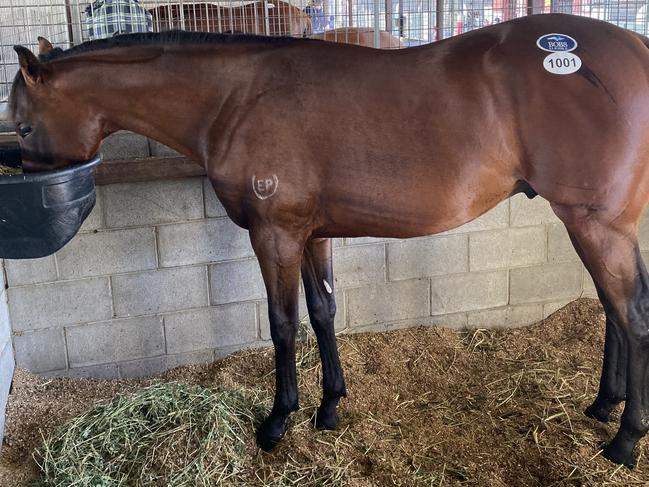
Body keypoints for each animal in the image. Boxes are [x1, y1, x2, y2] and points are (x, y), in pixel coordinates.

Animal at [10, 12, 649, 468]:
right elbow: (323, 311)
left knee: (632, 314)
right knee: (613, 310)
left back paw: (624, 439)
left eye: (22, 123)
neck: (236, 98)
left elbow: (283, 323)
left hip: (594, 224)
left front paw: (277, 421)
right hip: (600, 225)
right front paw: (330, 405)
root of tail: (635, 49)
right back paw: (603, 405)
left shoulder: (274, 235)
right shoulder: (312, 233)